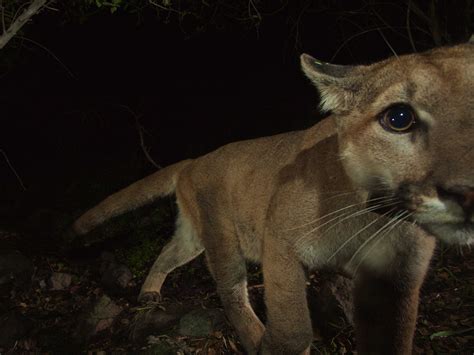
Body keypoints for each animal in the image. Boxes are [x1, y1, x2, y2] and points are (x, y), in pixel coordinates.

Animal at [72, 42, 472, 355]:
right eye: (399, 117)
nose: (467, 191)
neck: (373, 218)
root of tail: (195, 160)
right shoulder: (279, 240)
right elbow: (292, 326)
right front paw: (277, 344)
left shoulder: (397, 279)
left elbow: (392, 338)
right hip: (221, 233)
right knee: (231, 288)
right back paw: (254, 338)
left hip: (193, 234)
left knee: (170, 251)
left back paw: (149, 292)